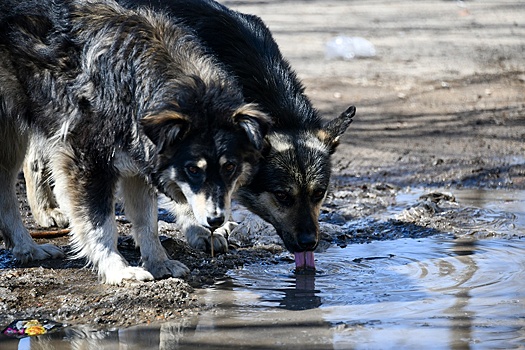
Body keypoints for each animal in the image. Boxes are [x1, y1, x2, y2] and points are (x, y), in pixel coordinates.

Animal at [0, 0, 268, 284]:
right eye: (193, 169)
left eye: (230, 168)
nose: (216, 221)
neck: (135, 83)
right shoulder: (86, 163)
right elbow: (101, 224)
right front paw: (117, 268)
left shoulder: (138, 163)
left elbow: (147, 222)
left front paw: (159, 262)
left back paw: (27, 248)